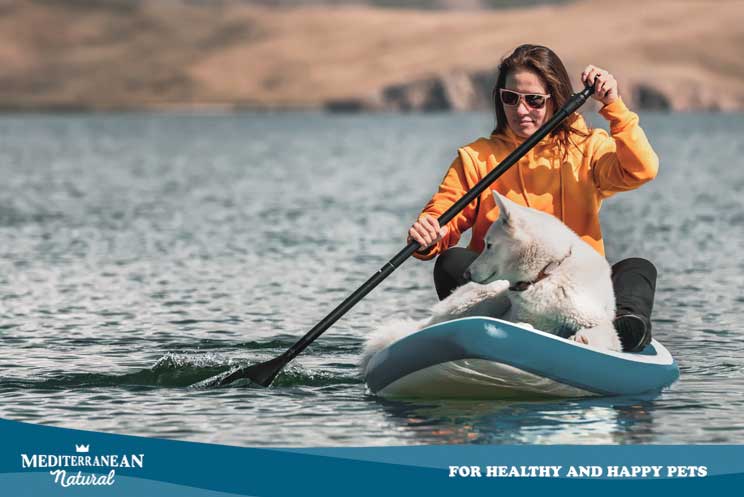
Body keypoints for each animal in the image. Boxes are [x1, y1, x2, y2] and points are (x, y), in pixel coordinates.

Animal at [362, 192, 620, 374]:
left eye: (489, 245)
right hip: (486, 296)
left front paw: (582, 338)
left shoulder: (597, 321)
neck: (546, 274)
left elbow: (602, 335)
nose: (466, 274)